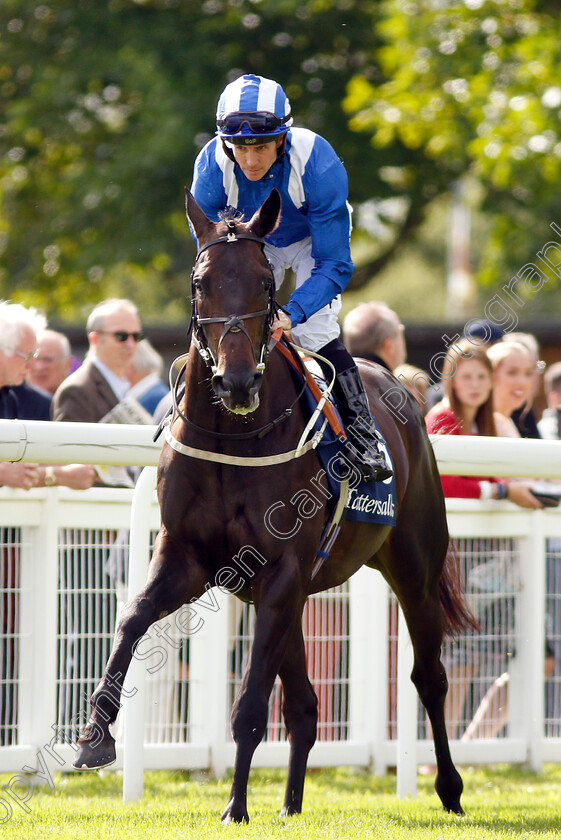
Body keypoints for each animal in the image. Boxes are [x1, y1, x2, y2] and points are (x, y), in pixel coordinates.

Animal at [73, 187, 472, 824]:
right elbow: (131, 617)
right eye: (201, 282)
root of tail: (404, 389)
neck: (233, 439)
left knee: (429, 677)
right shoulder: (193, 559)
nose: (236, 384)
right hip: (284, 593)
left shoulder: (281, 568)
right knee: (306, 705)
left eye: (265, 283)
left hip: (412, 565)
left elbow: (250, 703)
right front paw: (94, 737)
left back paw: (451, 788)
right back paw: (290, 803)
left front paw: (235, 804)